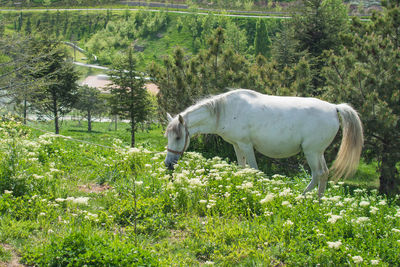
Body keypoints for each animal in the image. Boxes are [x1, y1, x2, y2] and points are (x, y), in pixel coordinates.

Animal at [164, 89, 364, 197]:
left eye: (178, 137)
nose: (168, 164)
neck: (227, 110)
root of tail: (334, 108)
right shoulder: (237, 145)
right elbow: (242, 168)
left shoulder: (246, 145)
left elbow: (253, 169)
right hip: (318, 152)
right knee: (324, 174)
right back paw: (318, 200)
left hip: (311, 152)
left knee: (318, 174)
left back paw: (301, 198)